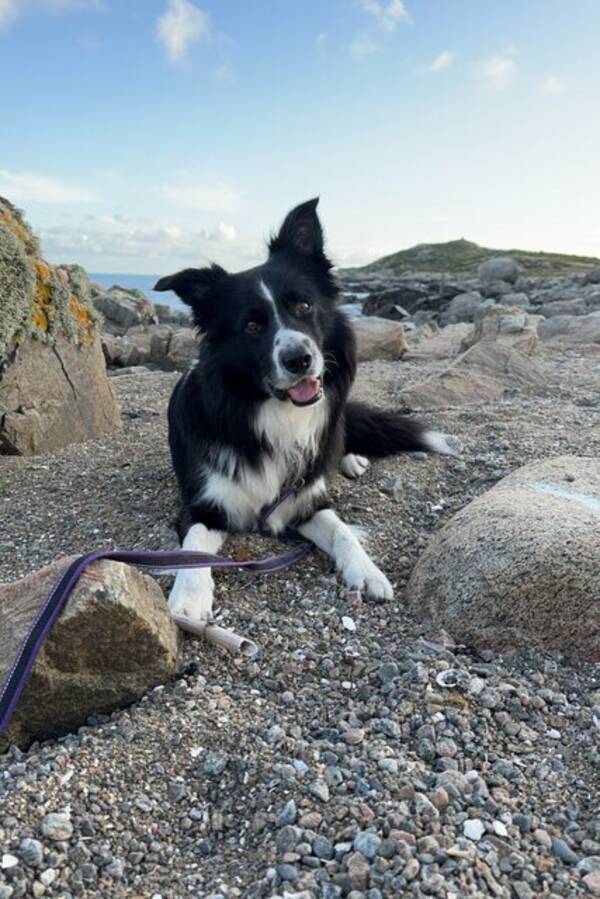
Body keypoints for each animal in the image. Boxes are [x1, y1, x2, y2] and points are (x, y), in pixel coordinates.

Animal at [154, 199, 454, 620]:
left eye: (304, 305)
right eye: (251, 325)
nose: (299, 359)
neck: (270, 411)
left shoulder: (307, 500)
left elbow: (341, 529)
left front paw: (366, 571)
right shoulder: (204, 505)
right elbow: (194, 547)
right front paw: (190, 598)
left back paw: (350, 460)